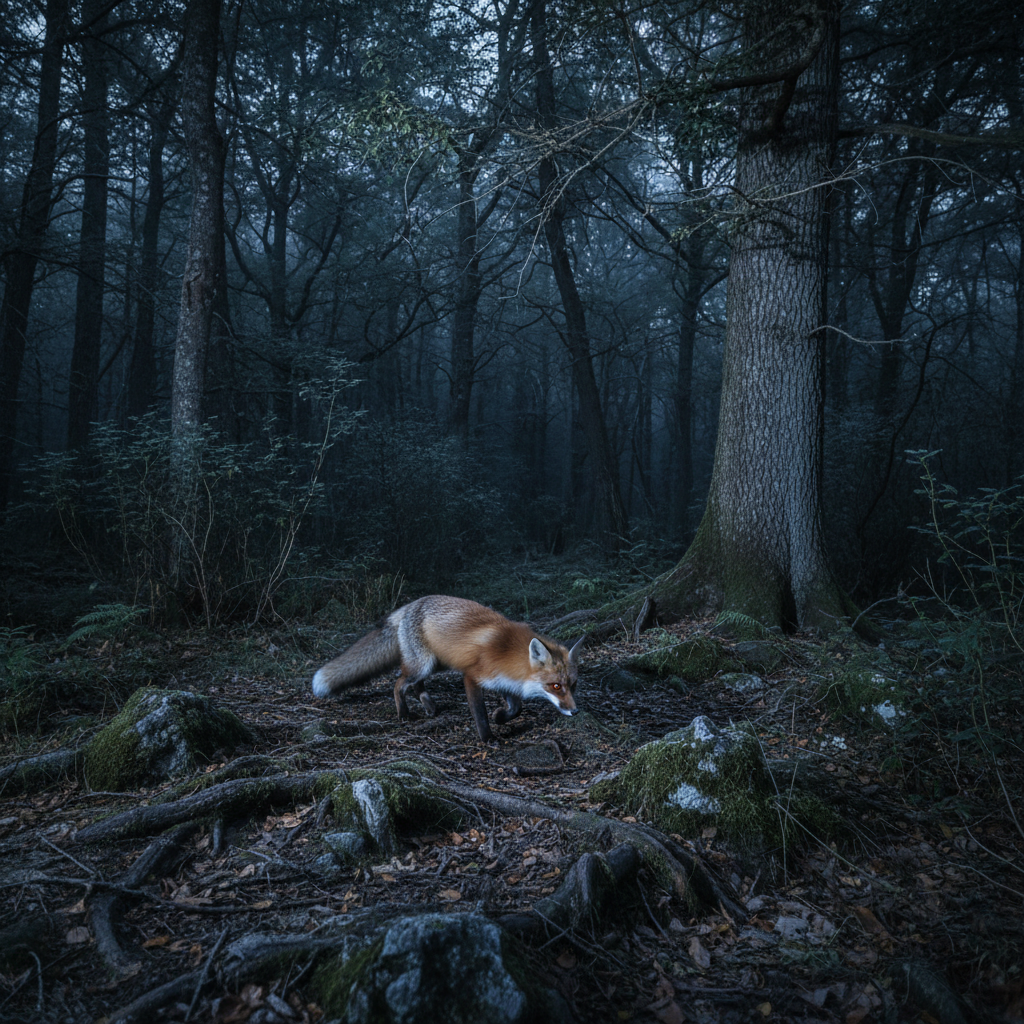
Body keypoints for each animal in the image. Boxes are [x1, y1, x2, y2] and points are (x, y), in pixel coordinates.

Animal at [311, 595, 582, 742]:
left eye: (573, 685)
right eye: (555, 686)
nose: (575, 712)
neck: (507, 651)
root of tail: (407, 607)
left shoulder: (504, 680)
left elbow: (516, 709)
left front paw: (500, 717)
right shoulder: (472, 676)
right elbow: (480, 714)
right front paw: (488, 738)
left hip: (435, 664)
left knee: (415, 684)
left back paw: (429, 705)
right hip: (424, 664)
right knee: (399, 682)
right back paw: (404, 713)